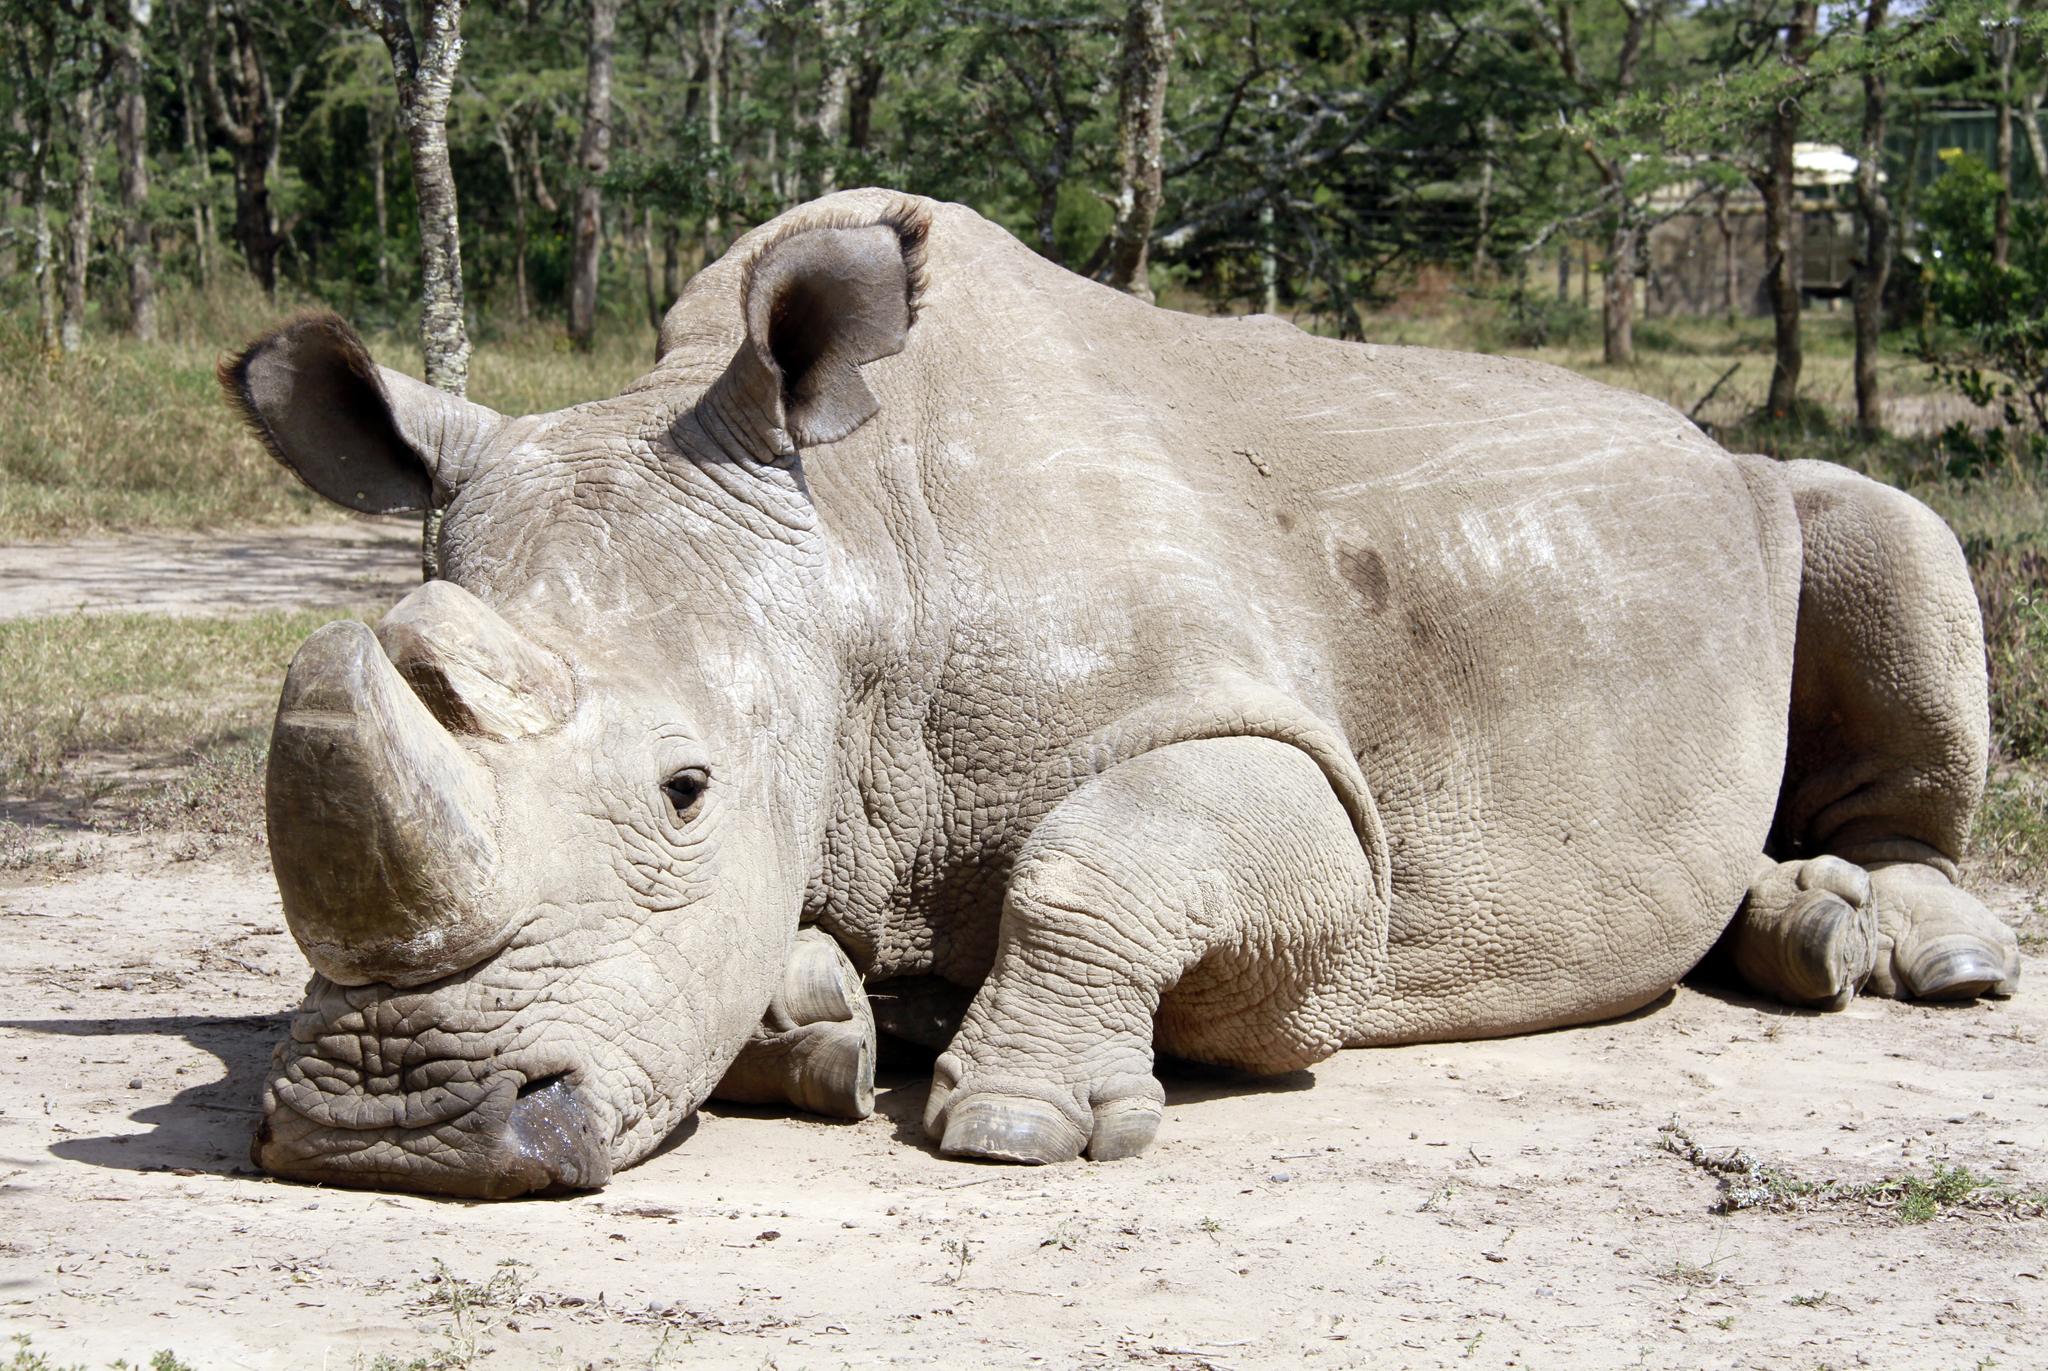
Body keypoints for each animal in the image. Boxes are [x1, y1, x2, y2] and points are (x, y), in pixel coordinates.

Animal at [232, 187, 2023, 1188]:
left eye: (687, 789)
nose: (393, 1128)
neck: (857, 550)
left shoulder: (1297, 772)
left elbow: (1115, 850)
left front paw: (1022, 1120)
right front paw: (822, 1019)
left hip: (1773, 497)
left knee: (1884, 527)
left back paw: (1915, 954)